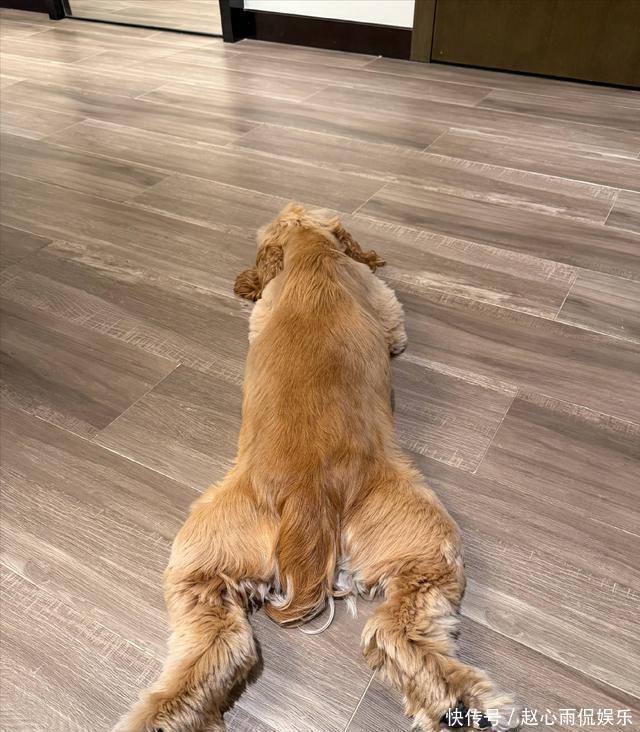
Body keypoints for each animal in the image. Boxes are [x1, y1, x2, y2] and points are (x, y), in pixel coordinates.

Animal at [115, 204, 515, 732]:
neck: (308, 253)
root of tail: (309, 493)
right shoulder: (386, 307)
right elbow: (394, 322)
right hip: (426, 547)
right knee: (393, 632)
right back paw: (464, 703)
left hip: (200, 563)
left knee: (224, 646)